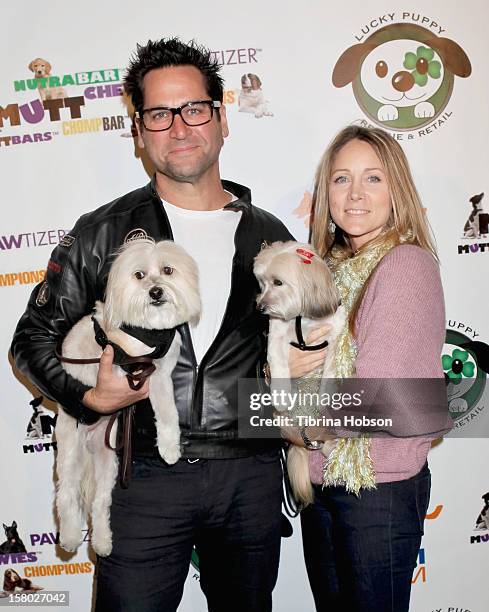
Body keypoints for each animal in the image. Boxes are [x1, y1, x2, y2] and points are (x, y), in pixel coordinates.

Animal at [56, 238, 200, 556]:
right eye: (139, 275)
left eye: (167, 270)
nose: (155, 291)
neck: (149, 331)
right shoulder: (138, 372)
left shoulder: (160, 374)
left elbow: (169, 411)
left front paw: (170, 446)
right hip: (71, 450)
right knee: (66, 495)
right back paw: (70, 537)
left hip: (108, 460)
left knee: (100, 503)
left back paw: (102, 542)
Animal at [254, 241, 346, 504]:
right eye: (261, 283)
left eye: (278, 282)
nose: (260, 307)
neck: (303, 316)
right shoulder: (276, 334)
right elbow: (277, 361)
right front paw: (281, 394)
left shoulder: (336, 335)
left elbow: (332, 368)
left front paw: (327, 395)